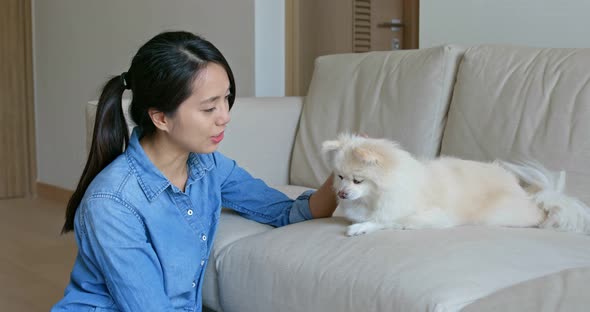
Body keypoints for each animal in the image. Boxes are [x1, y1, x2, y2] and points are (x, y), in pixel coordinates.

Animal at [324, 132, 590, 236]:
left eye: (358, 180)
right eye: (340, 177)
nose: (342, 194)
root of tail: (525, 193)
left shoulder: (426, 215)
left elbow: (388, 220)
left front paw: (361, 227)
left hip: (497, 215)